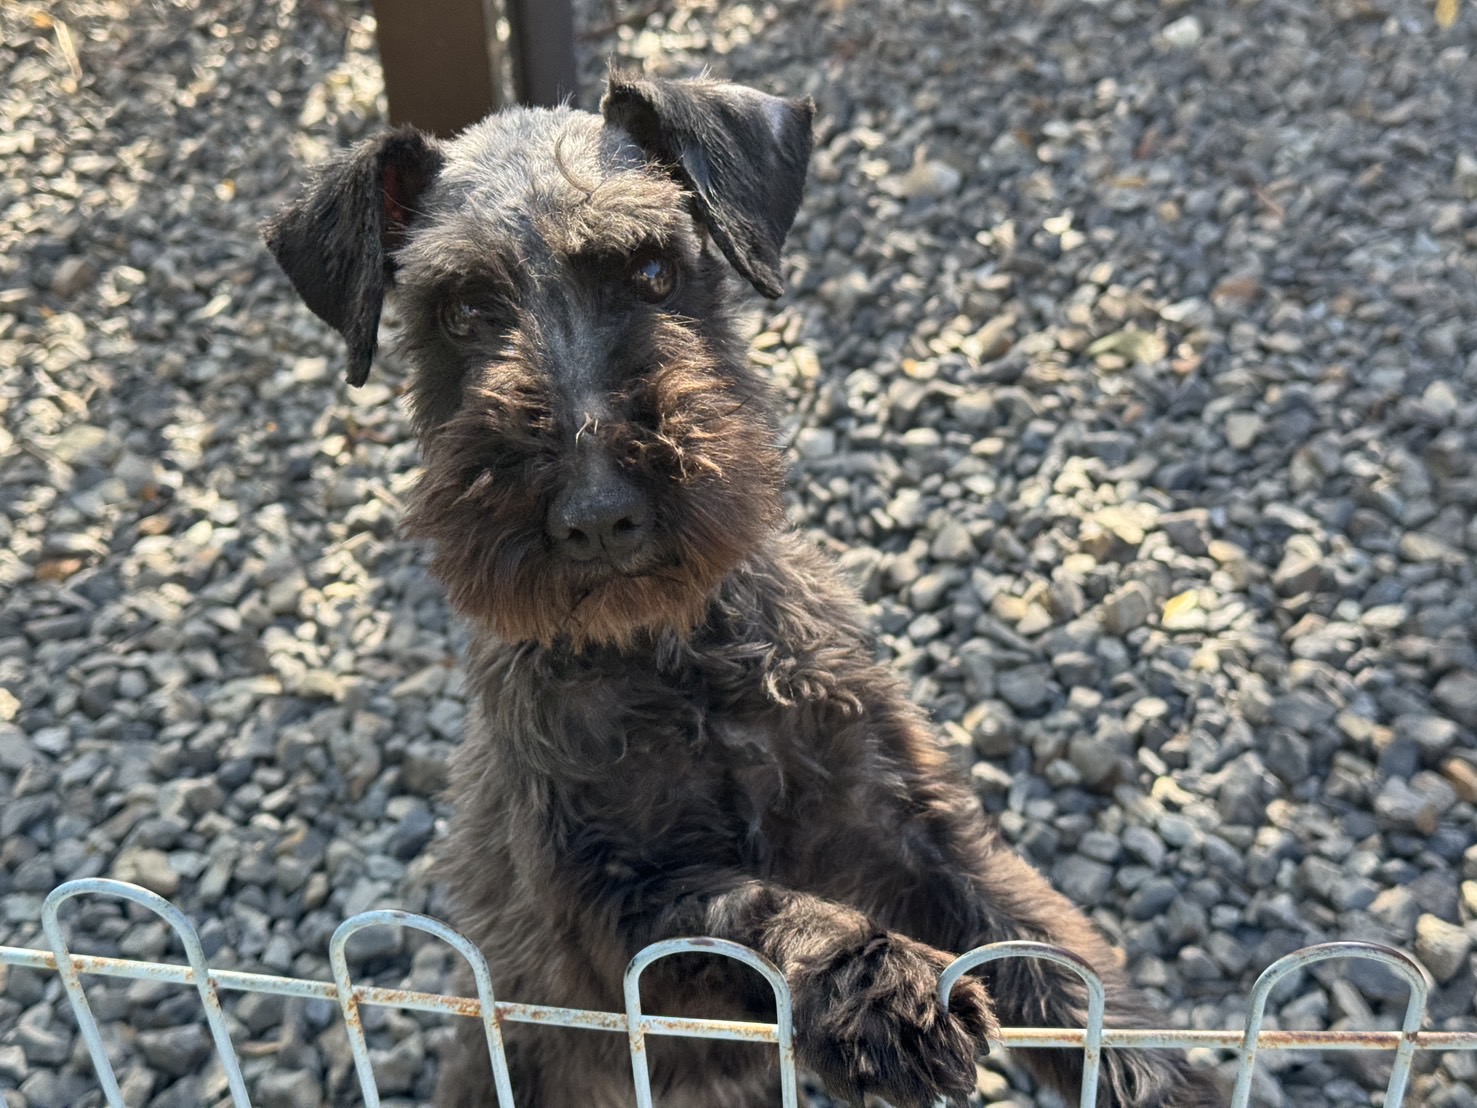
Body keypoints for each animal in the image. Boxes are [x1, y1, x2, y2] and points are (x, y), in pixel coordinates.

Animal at [263, 71, 1221, 1108]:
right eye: (462, 312)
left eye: (653, 271)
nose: (597, 514)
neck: (678, 658)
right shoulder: (614, 902)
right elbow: (741, 908)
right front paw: (871, 980)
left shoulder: (909, 819)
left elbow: (1041, 945)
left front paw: (1150, 1070)